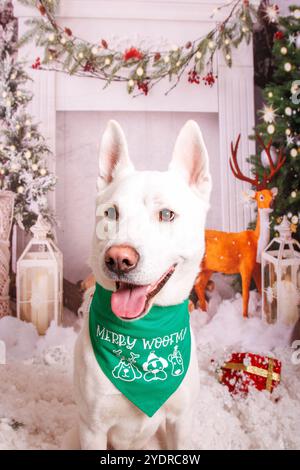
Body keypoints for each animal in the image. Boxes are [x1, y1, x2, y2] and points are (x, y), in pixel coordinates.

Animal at [69, 119, 212, 450]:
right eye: (111, 212)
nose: (119, 259)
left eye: (166, 214)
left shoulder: (181, 423)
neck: (143, 331)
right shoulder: (92, 428)